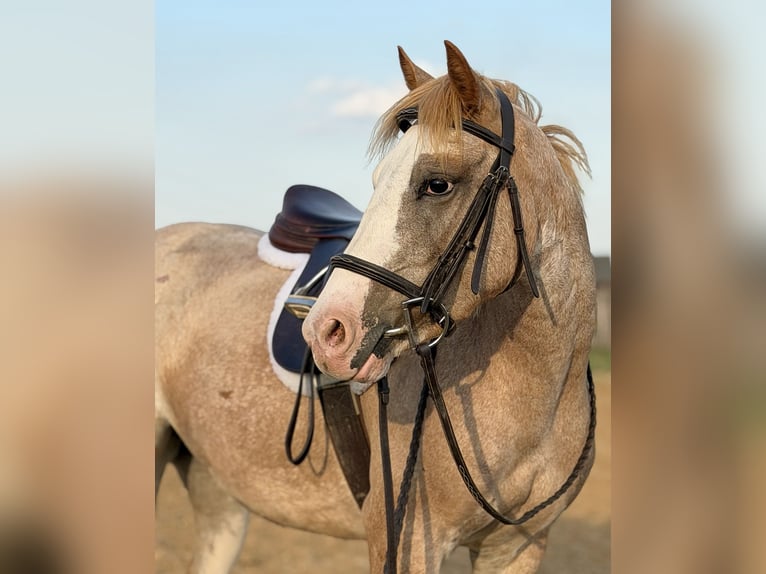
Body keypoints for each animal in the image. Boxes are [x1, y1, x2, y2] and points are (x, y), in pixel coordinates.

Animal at [155, 41, 595, 573]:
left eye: (437, 184)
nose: (325, 332)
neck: (538, 395)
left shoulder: (517, 548)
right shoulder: (409, 542)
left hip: (217, 488)